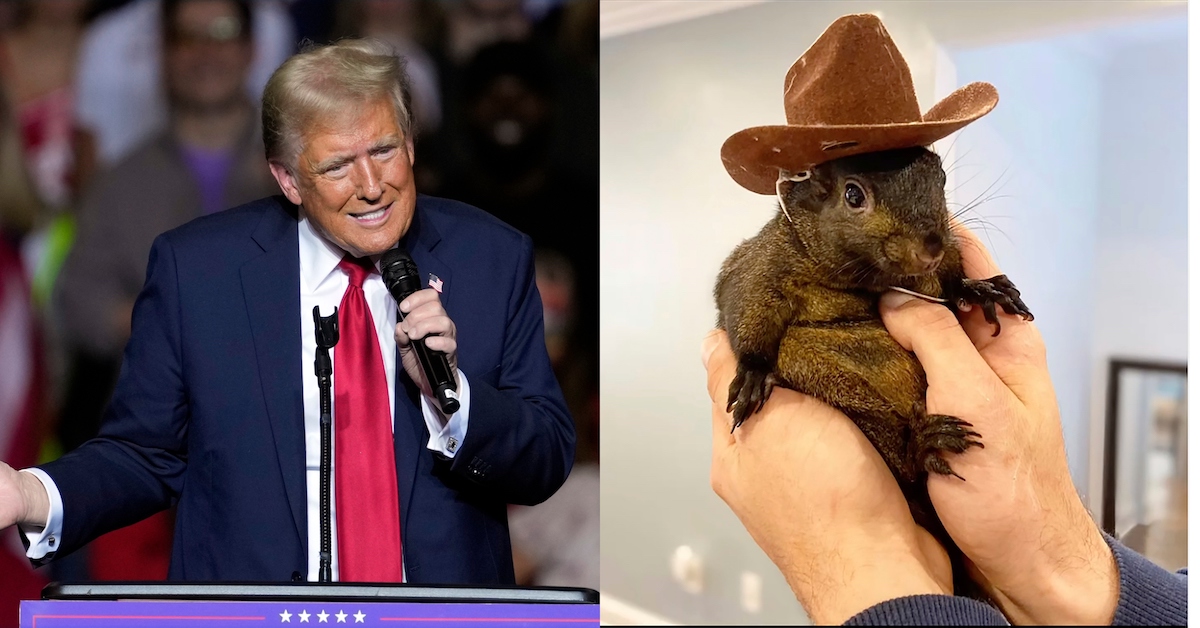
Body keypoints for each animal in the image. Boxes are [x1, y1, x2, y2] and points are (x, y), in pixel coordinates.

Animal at [713, 145, 1034, 600]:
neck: (866, 278)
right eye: (853, 195)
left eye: (940, 178)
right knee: (904, 463)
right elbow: (746, 305)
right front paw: (753, 373)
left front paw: (979, 288)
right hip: (832, 385)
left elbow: (951, 279)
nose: (931, 247)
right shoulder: (761, 266)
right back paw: (921, 445)